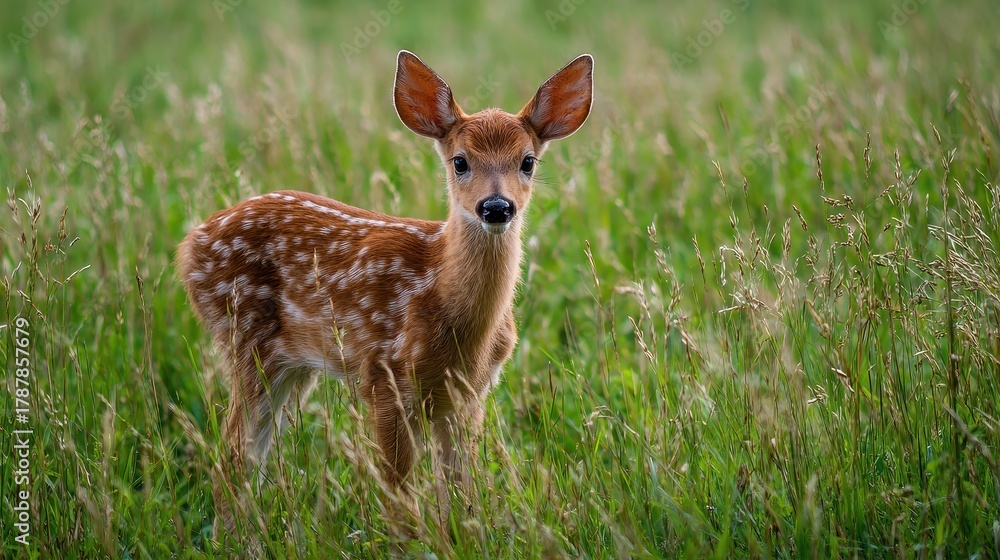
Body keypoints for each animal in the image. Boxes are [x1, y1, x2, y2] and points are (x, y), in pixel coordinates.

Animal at [176, 50, 593, 538]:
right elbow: (399, 499)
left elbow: (463, 493)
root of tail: (189, 244)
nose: (496, 207)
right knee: (230, 457)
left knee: (246, 457)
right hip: (244, 338)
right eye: (460, 161)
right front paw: (413, 543)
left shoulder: (470, 395)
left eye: (527, 161)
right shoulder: (384, 378)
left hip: (291, 365)